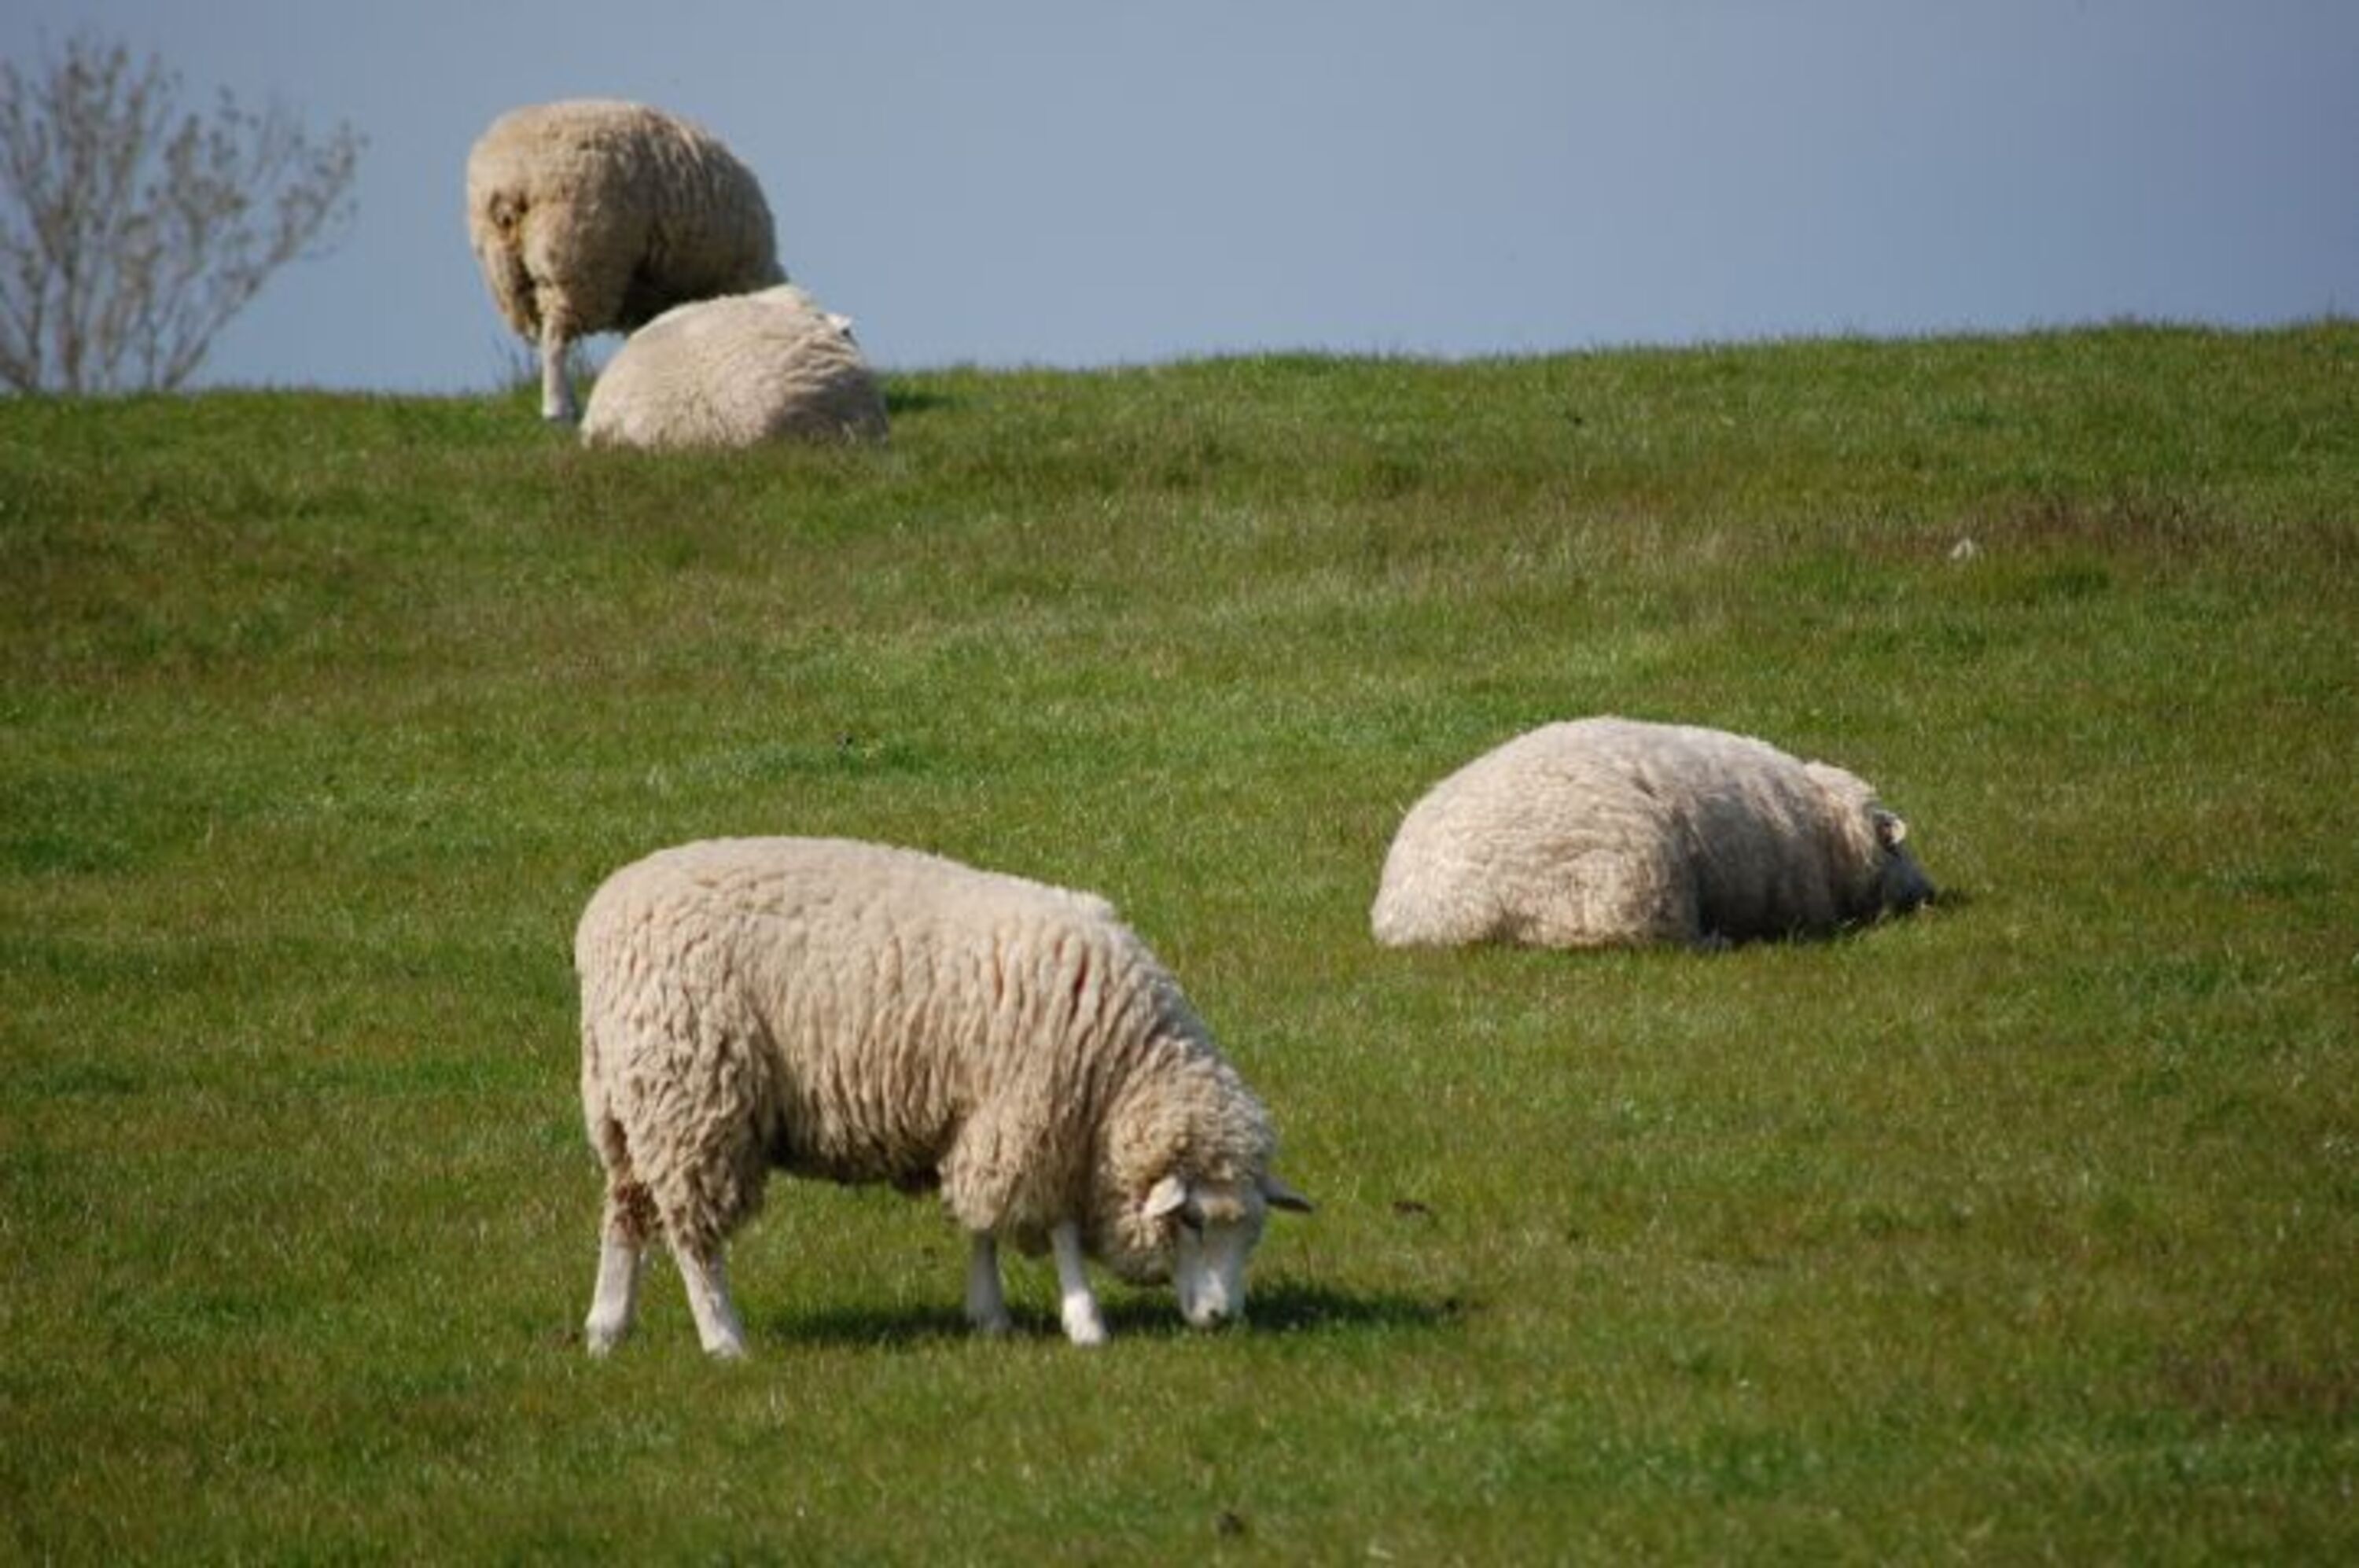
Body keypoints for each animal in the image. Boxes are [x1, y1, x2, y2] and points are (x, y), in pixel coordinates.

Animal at [465, 99, 785, 423]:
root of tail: (510, 174)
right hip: (578, 256)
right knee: (555, 337)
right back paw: (559, 409)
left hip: (506, 271)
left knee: (545, 333)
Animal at [574, 836, 1311, 1358]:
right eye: (1193, 1221)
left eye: (1251, 1232)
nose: (1221, 1319)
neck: (1123, 1059)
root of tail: (602, 917)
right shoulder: (1033, 1110)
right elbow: (1056, 1225)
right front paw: (1082, 1319)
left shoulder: (987, 1115)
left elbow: (981, 1216)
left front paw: (988, 1314)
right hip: (691, 1097)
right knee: (692, 1236)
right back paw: (723, 1337)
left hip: (626, 1102)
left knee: (625, 1211)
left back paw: (608, 1325)